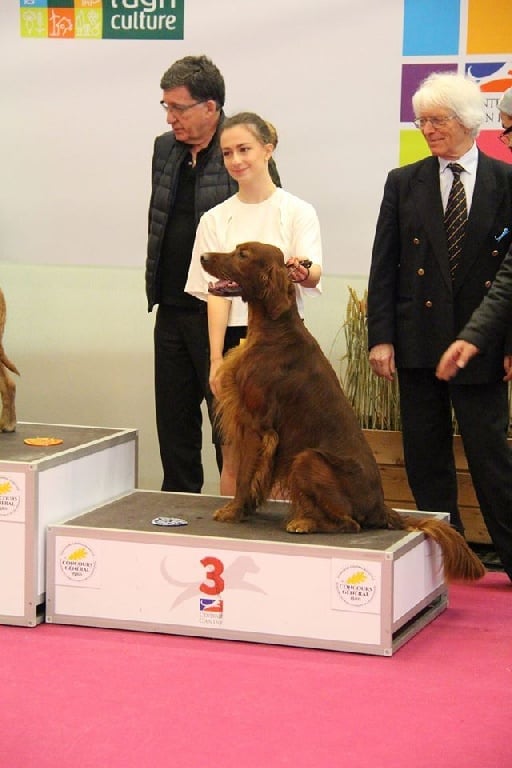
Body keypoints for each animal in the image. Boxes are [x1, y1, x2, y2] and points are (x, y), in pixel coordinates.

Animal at [200, 242, 484, 584]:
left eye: (243, 254)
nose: (202, 256)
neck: (274, 328)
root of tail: (380, 507)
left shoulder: (257, 425)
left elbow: (244, 476)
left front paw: (233, 511)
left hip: (308, 459)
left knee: (350, 523)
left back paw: (303, 522)